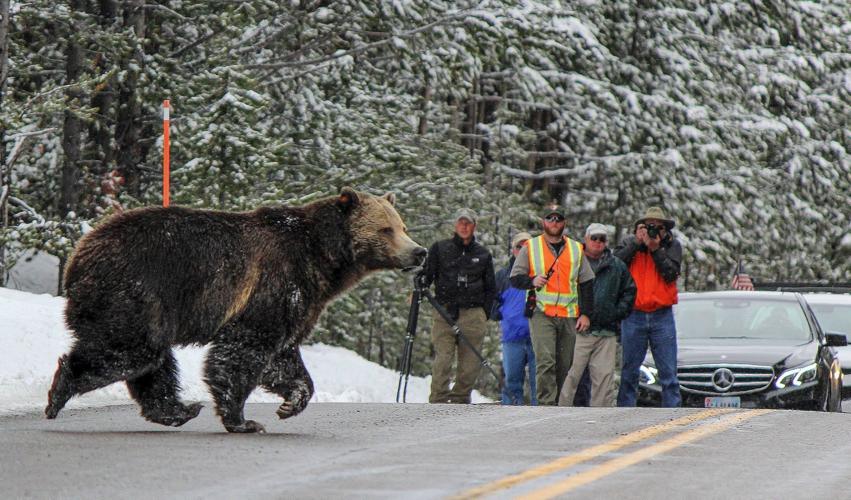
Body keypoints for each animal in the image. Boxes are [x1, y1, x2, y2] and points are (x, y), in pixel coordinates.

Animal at [45, 187, 426, 433]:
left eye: (403, 226)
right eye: (386, 228)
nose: (419, 251)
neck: (323, 259)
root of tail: (78, 255)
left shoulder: (300, 302)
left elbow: (284, 357)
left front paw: (290, 403)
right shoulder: (277, 283)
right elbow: (244, 350)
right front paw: (243, 419)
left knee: (153, 363)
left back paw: (178, 409)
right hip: (135, 293)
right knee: (131, 351)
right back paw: (60, 392)